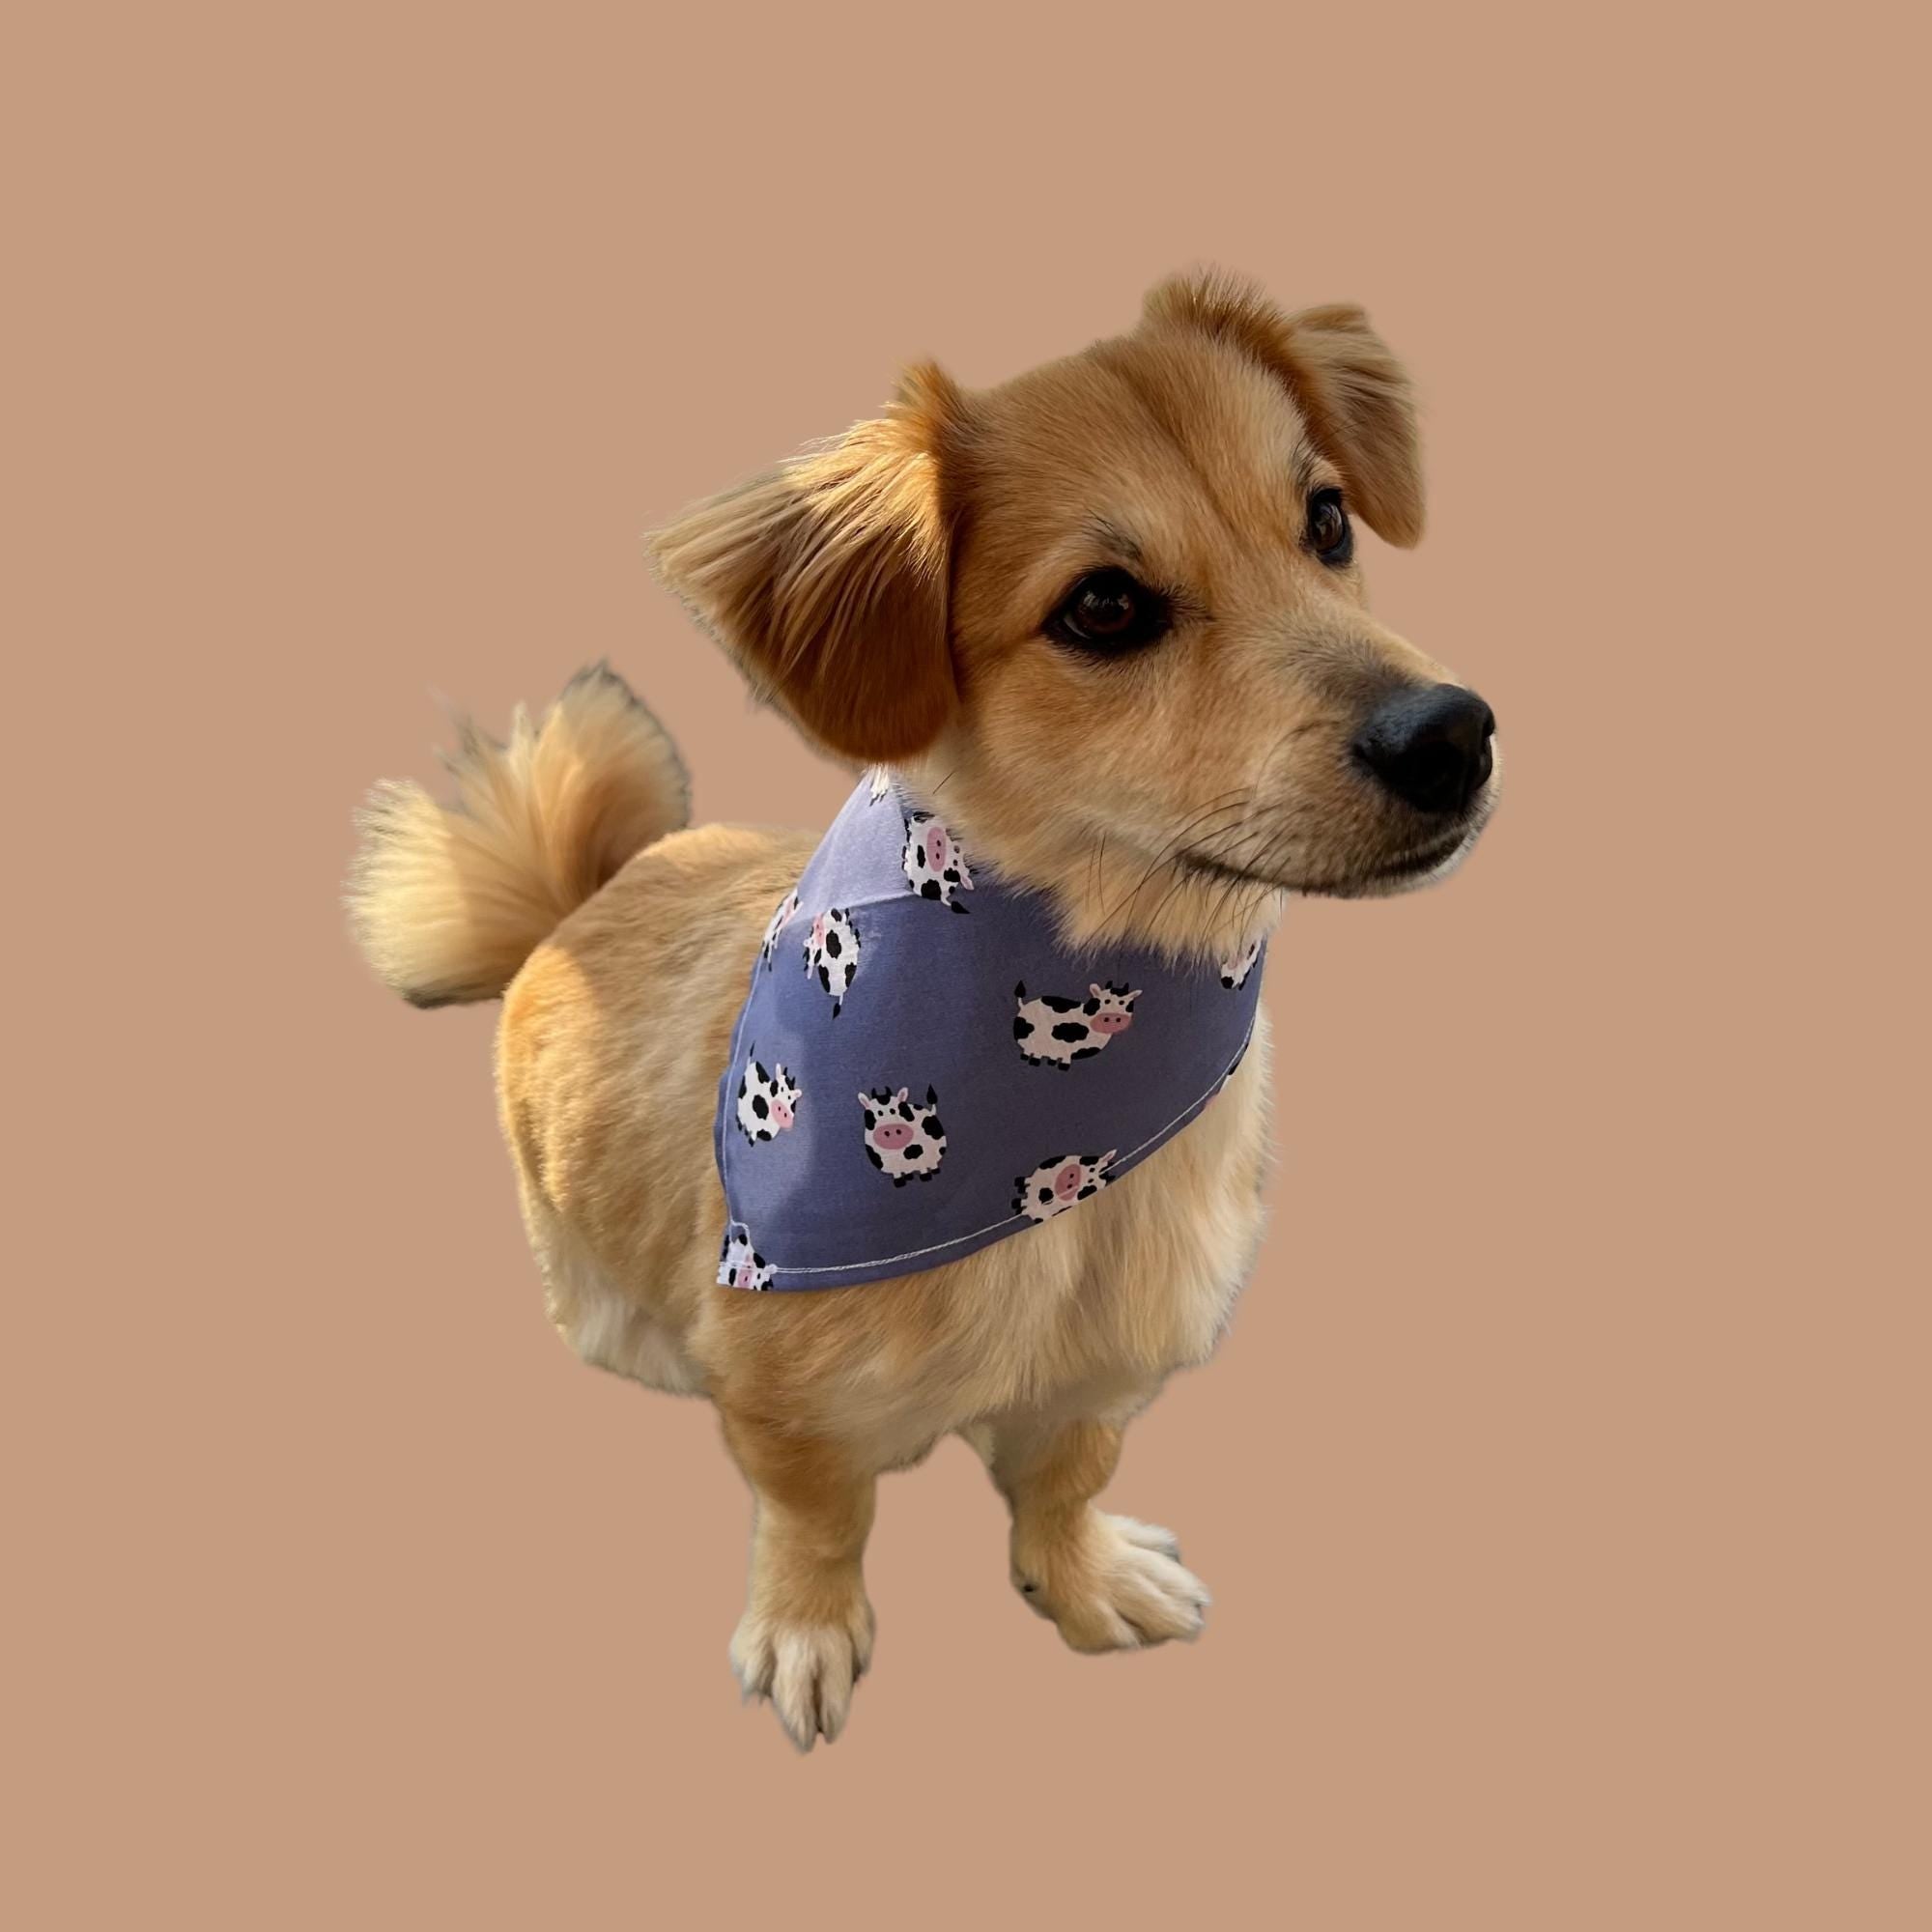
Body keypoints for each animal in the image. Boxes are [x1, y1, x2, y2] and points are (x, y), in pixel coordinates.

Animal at [1013, 979, 1139, 1067]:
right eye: (1106, 1001)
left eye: (1123, 1002)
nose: (1113, 1016)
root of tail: (1024, 1005)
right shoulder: (1066, 1044)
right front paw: (1063, 1066)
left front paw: (1054, 1062)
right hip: (1029, 1040)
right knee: (1030, 1051)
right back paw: (1033, 1061)